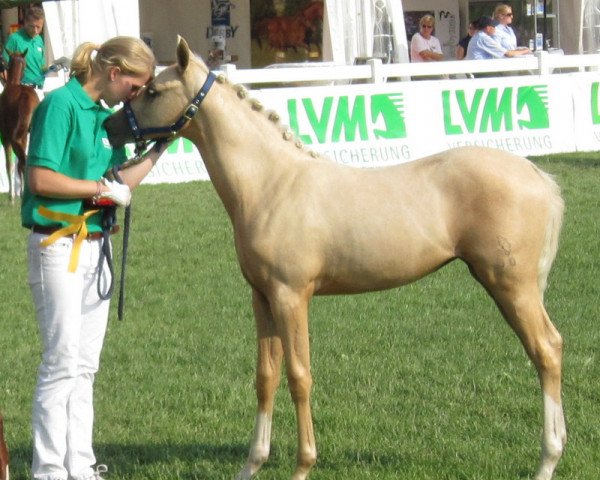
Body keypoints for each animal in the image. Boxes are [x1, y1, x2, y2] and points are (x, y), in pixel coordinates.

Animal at [0, 50, 39, 202]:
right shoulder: (23, 136)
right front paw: (20, 193)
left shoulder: (5, 137)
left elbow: (9, 165)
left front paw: (12, 196)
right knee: (25, 162)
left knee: (21, 161)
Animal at [104, 36, 568, 480]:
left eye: (153, 90)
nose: (109, 126)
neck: (272, 183)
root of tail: (537, 176)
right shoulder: (262, 298)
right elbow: (265, 376)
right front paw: (252, 464)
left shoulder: (291, 297)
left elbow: (299, 375)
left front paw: (303, 465)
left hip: (511, 286)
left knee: (545, 350)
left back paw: (547, 461)